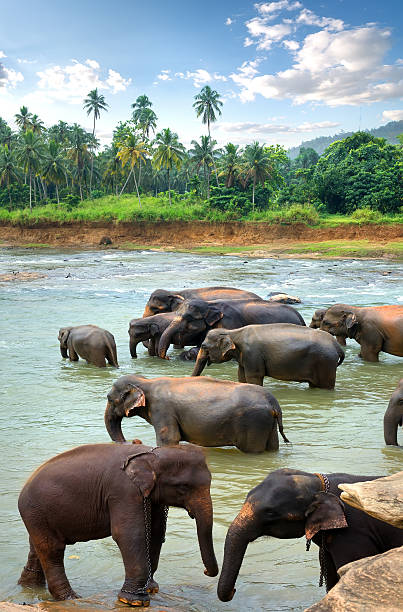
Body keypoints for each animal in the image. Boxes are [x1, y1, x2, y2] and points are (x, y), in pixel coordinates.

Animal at [17, 442, 219, 604]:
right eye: (183, 487)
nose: (205, 572)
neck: (151, 454)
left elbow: (155, 532)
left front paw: (151, 589)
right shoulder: (124, 491)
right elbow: (128, 534)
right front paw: (134, 601)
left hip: (38, 516)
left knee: (37, 547)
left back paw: (29, 588)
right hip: (36, 510)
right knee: (52, 549)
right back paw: (70, 598)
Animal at [104, 372, 290, 454]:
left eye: (109, 399)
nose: (132, 441)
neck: (145, 382)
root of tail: (273, 402)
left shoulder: (162, 410)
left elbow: (168, 439)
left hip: (254, 423)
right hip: (268, 424)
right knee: (273, 447)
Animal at [194, 326, 346, 388]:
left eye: (203, 346)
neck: (233, 332)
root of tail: (336, 345)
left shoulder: (252, 355)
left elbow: (253, 377)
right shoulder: (244, 358)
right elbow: (241, 377)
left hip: (324, 362)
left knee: (325, 386)